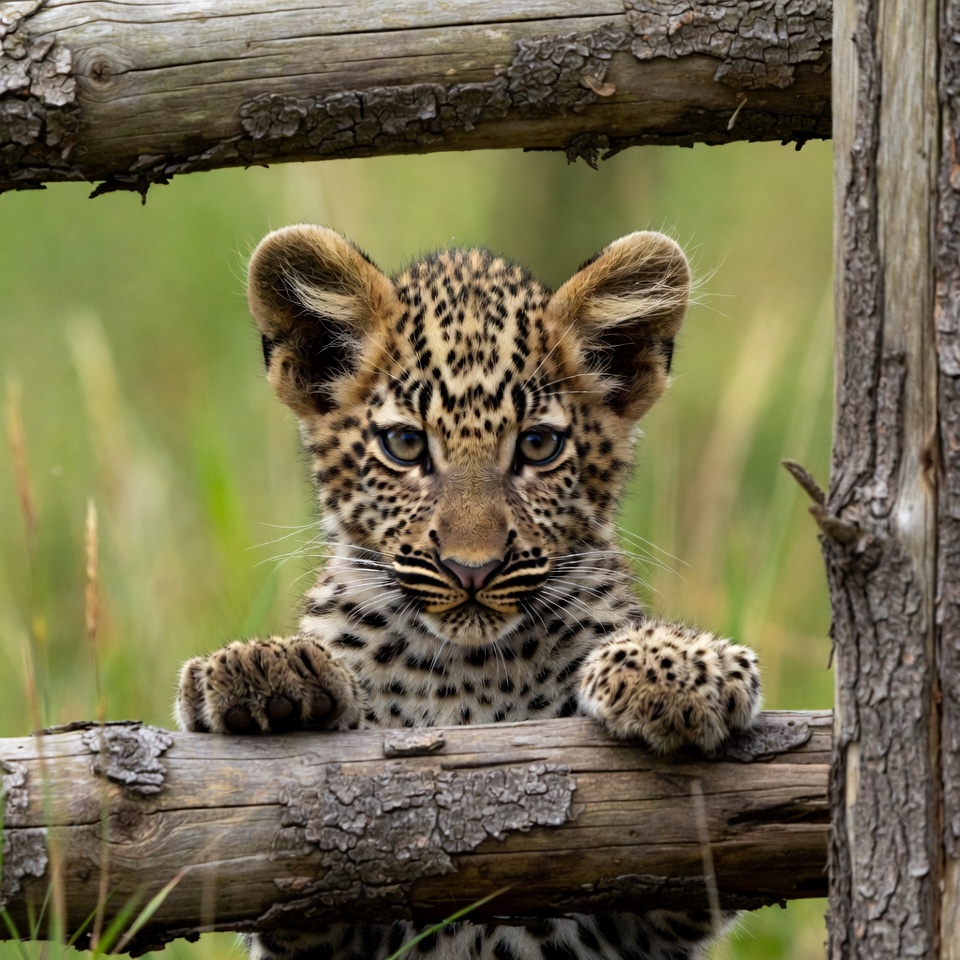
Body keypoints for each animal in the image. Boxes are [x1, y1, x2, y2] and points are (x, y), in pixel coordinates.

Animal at [176, 225, 761, 960]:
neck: (470, 675)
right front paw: (265, 671)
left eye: (537, 446)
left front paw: (678, 668)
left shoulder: (632, 916)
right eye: (405, 444)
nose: (471, 568)